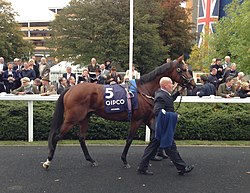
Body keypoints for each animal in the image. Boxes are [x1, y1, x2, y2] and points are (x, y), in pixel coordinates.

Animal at [42, 57, 195, 169]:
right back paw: (48, 161)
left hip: (85, 117)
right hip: (72, 118)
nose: (193, 84)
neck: (144, 90)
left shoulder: (148, 118)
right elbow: (129, 139)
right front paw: (125, 160)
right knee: (56, 136)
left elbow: (158, 134)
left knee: (81, 137)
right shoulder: (137, 120)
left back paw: (91, 160)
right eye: (184, 69)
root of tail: (70, 89)